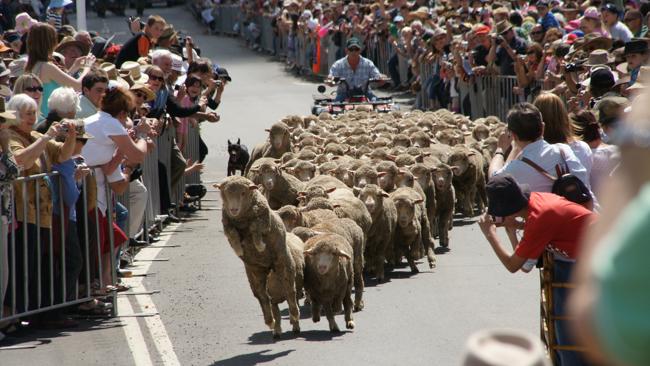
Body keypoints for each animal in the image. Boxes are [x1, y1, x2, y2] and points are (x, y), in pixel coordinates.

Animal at [215, 177, 302, 338]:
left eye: (243, 193)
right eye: (225, 193)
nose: (233, 210)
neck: (242, 221)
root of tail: (269, 267)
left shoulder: (263, 221)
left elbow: (255, 229)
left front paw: (260, 245)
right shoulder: (228, 224)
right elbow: (232, 234)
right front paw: (239, 249)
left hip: (283, 264)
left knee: (290, 291)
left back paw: (294, 314)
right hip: (255, 272)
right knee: (263, 297)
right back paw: (270, 321)